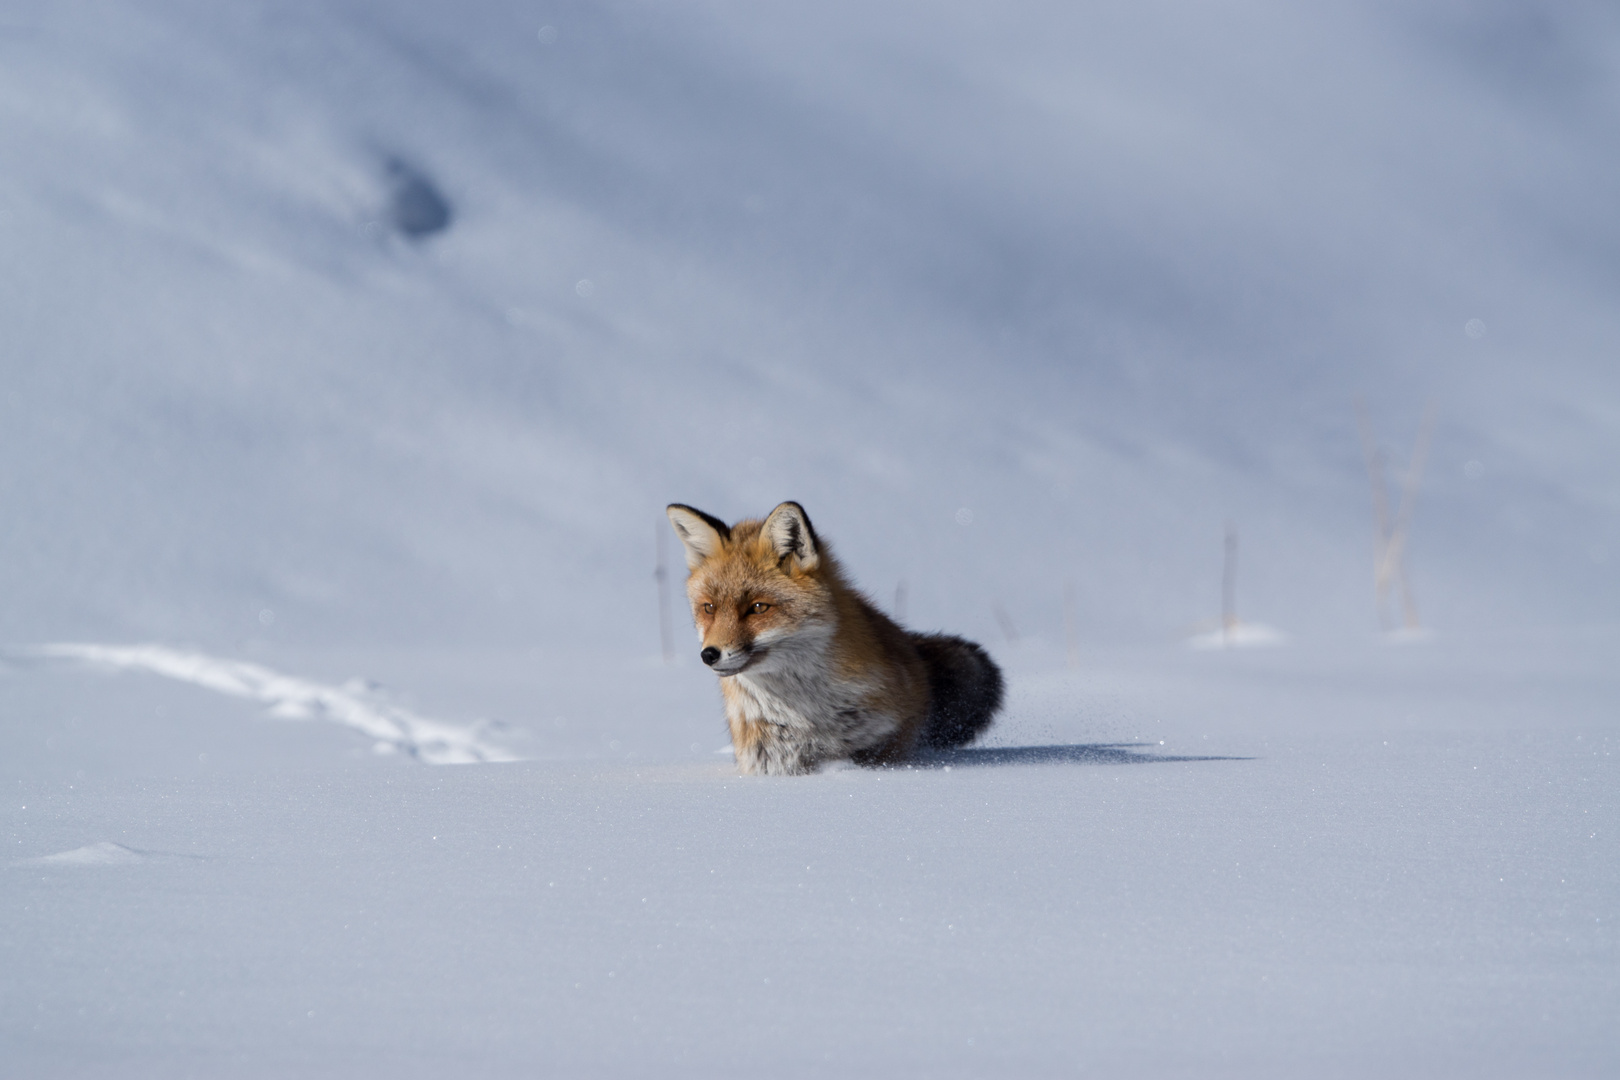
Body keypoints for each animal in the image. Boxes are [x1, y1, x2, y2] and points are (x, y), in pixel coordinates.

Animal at [660, 501, 997, 773]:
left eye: (757, 608)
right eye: (709, 608)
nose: (709, 654)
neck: (807, 715)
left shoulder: (884, 741)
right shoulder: (773, 761)